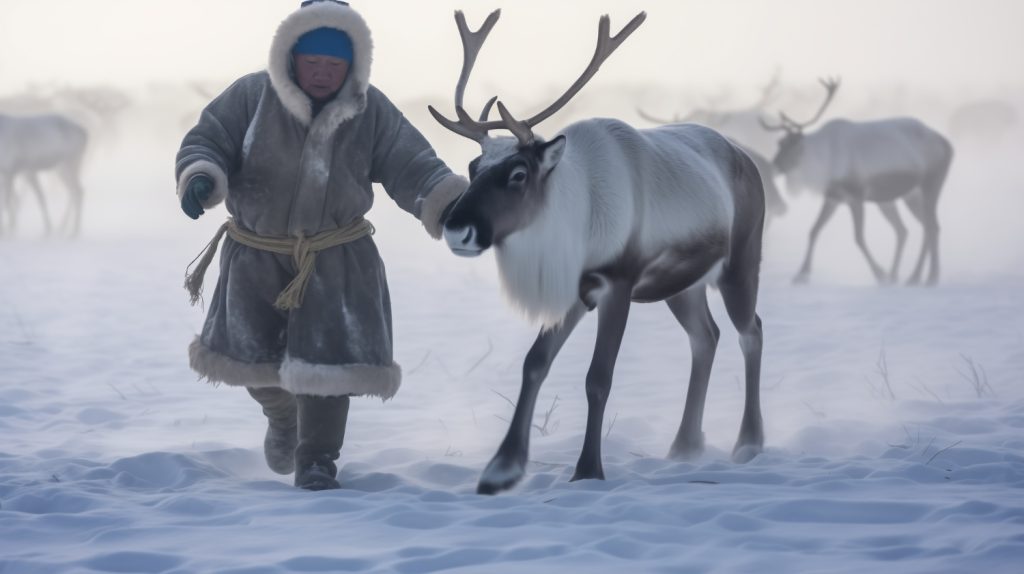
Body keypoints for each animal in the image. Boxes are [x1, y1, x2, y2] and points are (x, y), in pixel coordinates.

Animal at [429, 10, 767, 495]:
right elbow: (534, 363)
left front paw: (588, 468)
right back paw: (684, 445)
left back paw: (749, 441)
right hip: (683, 285)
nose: (457, 229)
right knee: (706, 336)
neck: (573, 225)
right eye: (474, 167)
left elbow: (598, 378)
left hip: (740, 262)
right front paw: (501, 469)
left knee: (750, 331)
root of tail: (746, 157)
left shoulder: (617, 285)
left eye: (518, 173)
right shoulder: (573, 292)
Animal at [761, 78, 954, 285]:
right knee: (918, 228)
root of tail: (947, 144)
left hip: (931, 182)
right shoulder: (833, 197)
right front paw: (801, 274)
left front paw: (880, 273)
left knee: (931, 226)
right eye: (779, 143)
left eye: (791, 146)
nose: (774, 166)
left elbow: (859, 237)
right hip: (910, 195)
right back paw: (912, 276)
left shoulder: (856, 195)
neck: (824, 161)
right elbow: (814, 230)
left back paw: (927, 276)